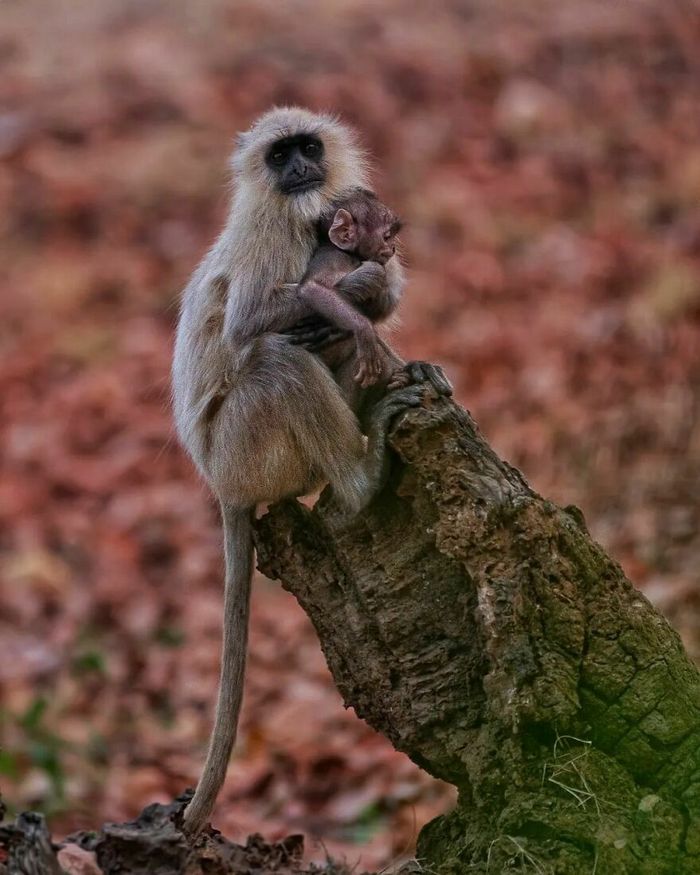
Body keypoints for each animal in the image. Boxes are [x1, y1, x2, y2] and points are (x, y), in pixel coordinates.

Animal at [296, 188, 404, 394]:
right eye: (387, 236)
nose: (393, 247)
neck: (349, 254)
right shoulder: (332, 257)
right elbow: (312, 287)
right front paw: (363, 328)